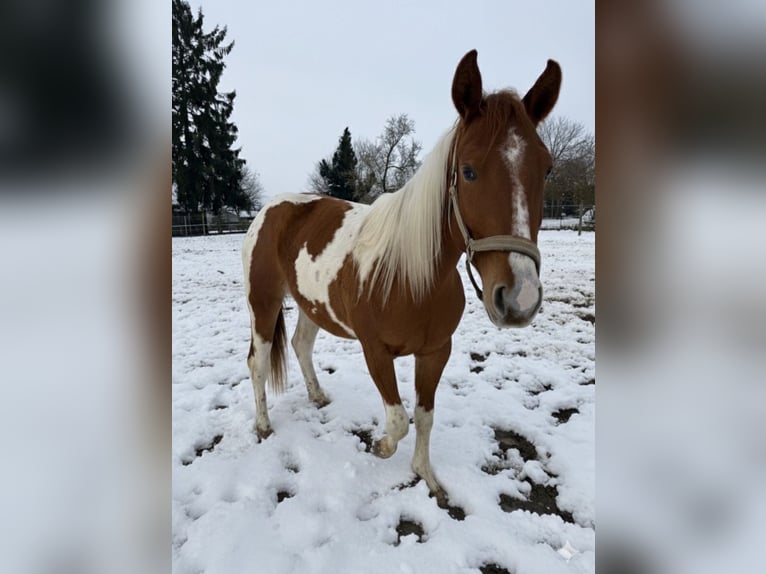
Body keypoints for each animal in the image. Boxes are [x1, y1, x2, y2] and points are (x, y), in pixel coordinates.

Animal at [242, 50, 561, 505]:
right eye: (468, 171)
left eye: (547, 169)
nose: (520, 297)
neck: (413, 277)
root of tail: (272, 208)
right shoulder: (375, 351)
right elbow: (398, 420)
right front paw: (380, 447)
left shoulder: (436, 352)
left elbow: (424, 417)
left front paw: (425, 476)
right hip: (263, 302)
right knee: (258, 360)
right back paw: (264, 425)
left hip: (311, 304)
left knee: (301, 346)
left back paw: (318, 396)